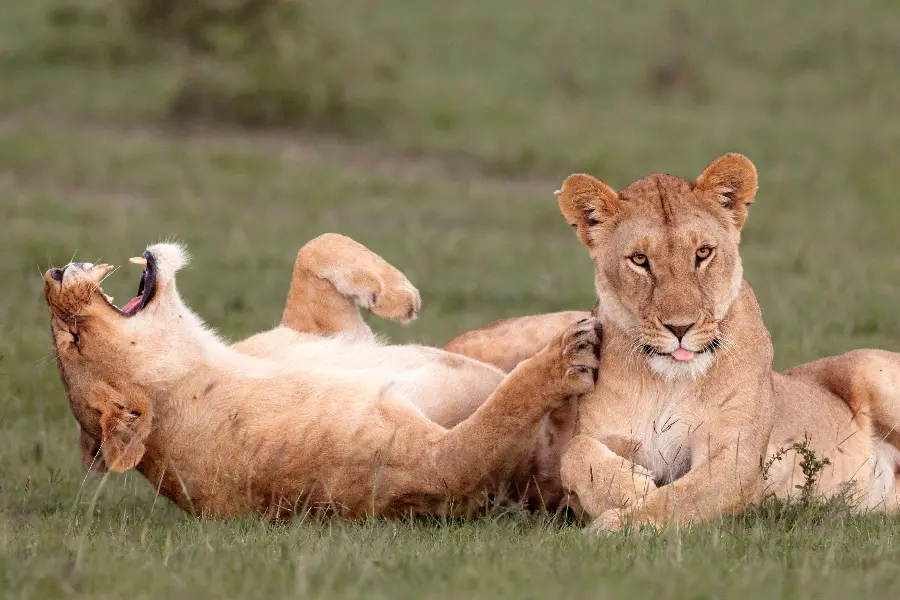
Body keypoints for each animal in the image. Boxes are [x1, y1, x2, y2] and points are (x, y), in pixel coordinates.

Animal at [47, 232, 596, 516]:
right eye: (72, 338)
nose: (51, 275)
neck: (205, 360)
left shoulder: (318, 330)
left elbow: (314, 247)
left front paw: (397, 295)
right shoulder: (427, 470)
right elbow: (498, 417)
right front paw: (565, 359)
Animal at [454, 154, 900, 528]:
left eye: (703, 253)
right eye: (639, 260)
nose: (680, 327)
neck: (668, 381)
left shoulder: (735, 458)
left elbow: (680, 499)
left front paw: (621, 524)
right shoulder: (599, 446)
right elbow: (574, 455)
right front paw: (633, 486)